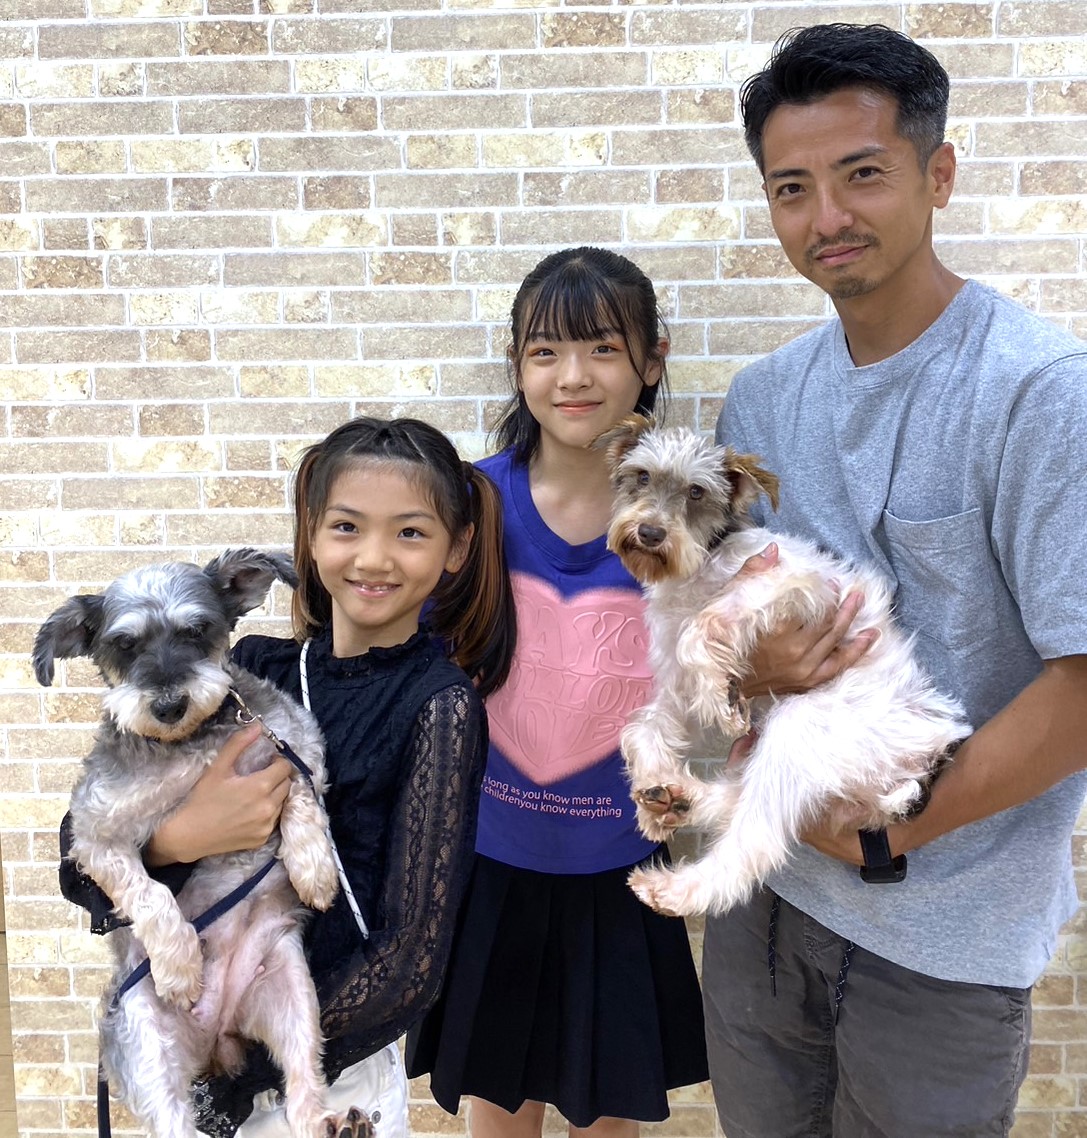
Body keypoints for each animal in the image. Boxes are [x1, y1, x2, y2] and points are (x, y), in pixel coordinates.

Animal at [596, 416, 971, 918]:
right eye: (641, 476)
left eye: (696, 492)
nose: (651, 533)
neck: (701, 564)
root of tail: (927, 758)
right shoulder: (674, 685)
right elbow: (641, 728)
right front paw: (652, 785)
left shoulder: (791, 582)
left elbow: (703, 626)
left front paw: (721, 701)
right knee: (743, 799)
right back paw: (676, 797)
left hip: (801, 728)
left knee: (756, 838)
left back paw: (677, 887)